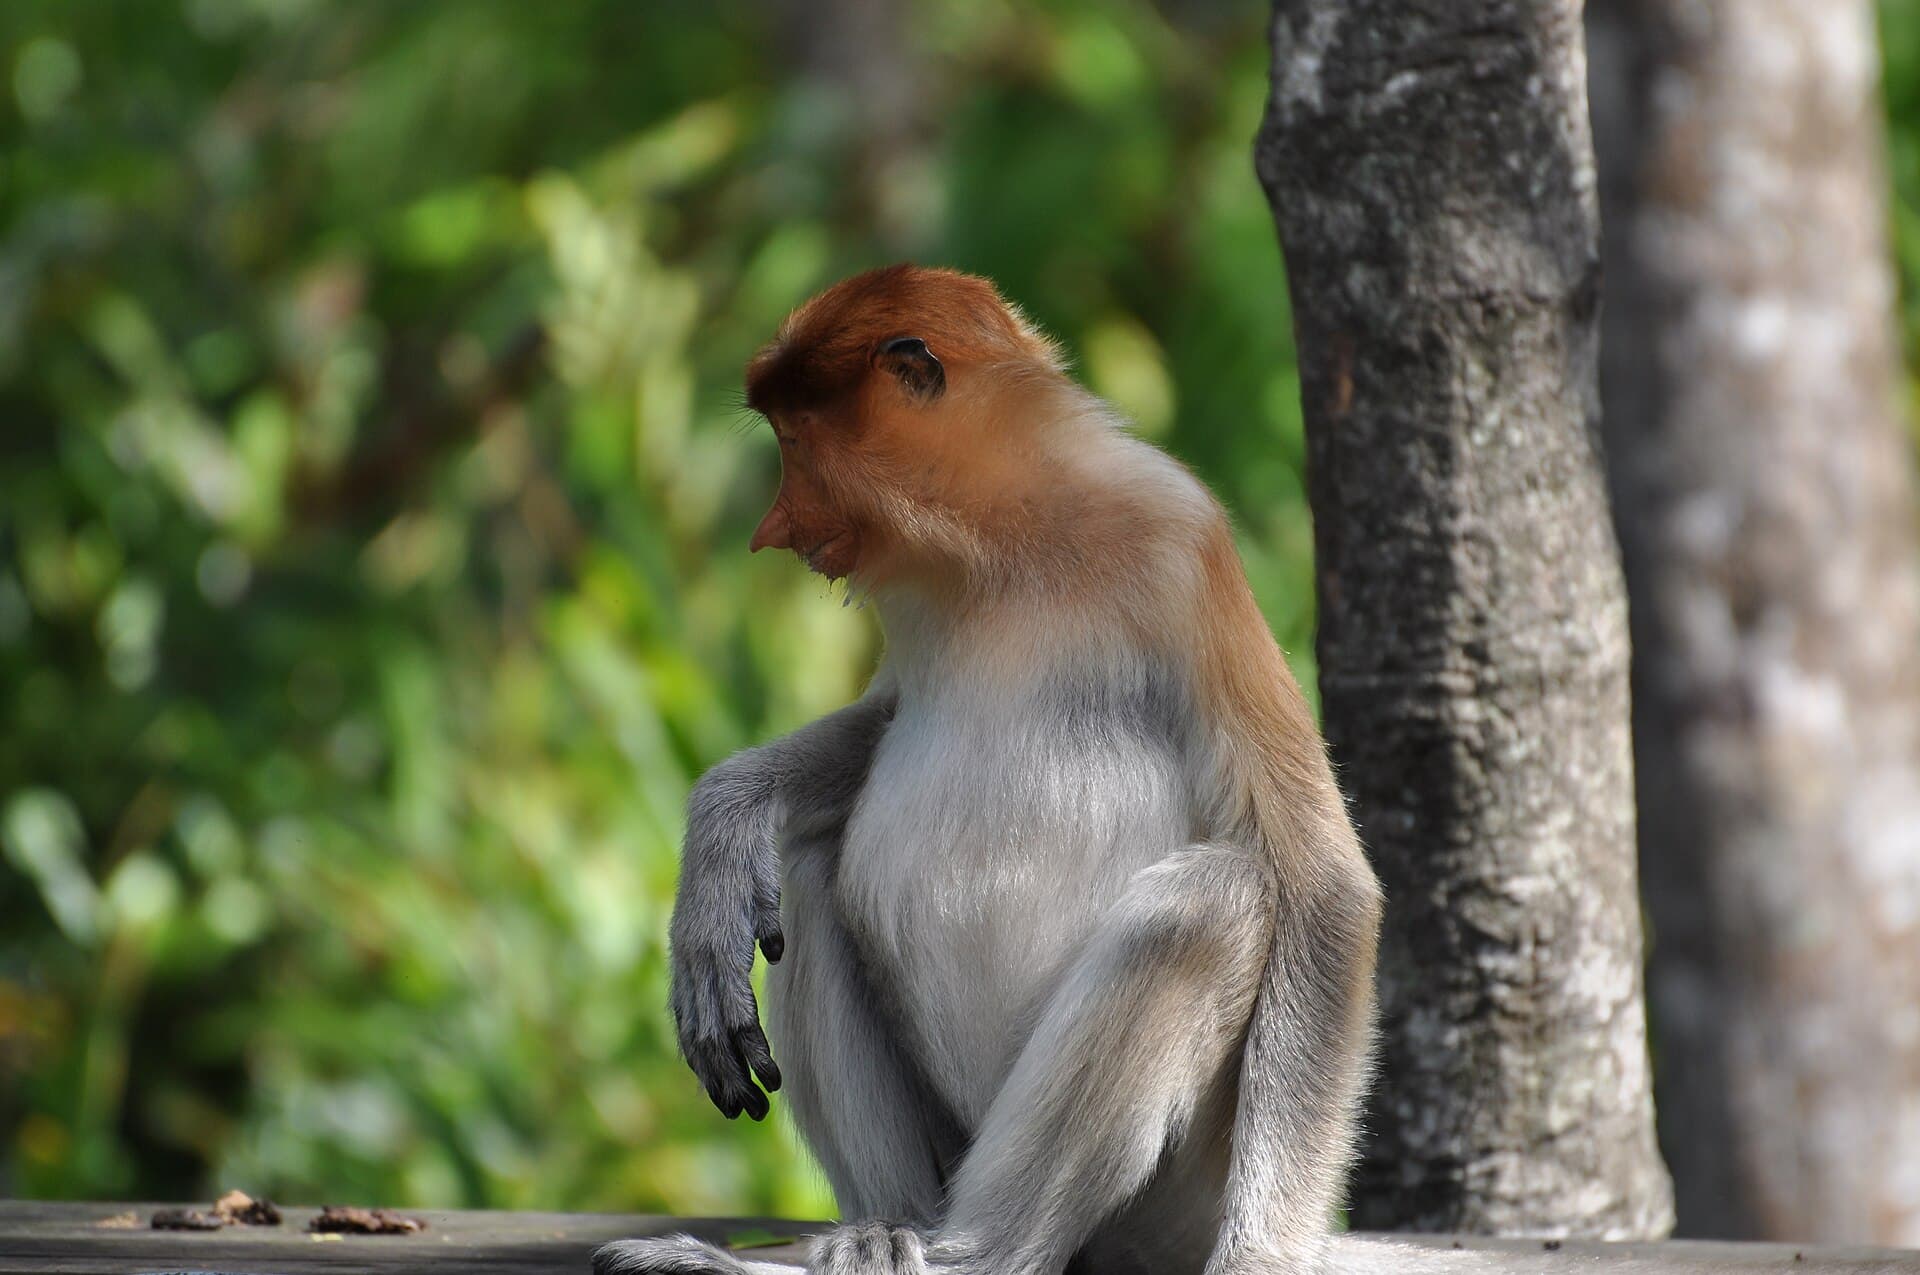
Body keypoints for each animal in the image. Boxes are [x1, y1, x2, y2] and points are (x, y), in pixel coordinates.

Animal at [593, 264, 1382, 1275]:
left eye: (795, 440)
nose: (772, 529)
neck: (1001, 537)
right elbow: (882, 720)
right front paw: (721, 846)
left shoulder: (1182, 545)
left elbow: (1322, 880)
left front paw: (1259, 1258)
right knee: (807, 872)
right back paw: (880, 1232)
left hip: (1176, 1194)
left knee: (1207, 906)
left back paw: (968, 1250)